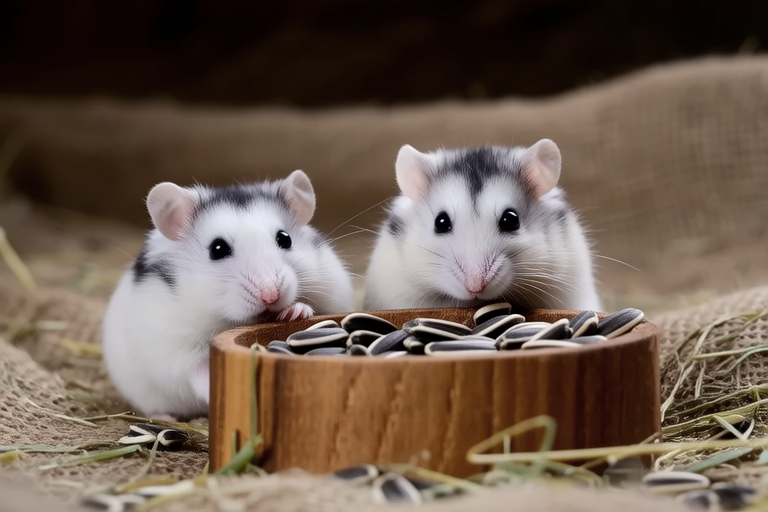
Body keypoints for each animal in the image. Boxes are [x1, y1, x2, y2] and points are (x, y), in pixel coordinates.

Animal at [102, 170, 354, 421]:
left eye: (285, 238)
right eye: (218, 249)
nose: (271, 296)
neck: (227, 319)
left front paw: (295, 312)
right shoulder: (172, 351)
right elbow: (196, 370)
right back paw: (164, 418)